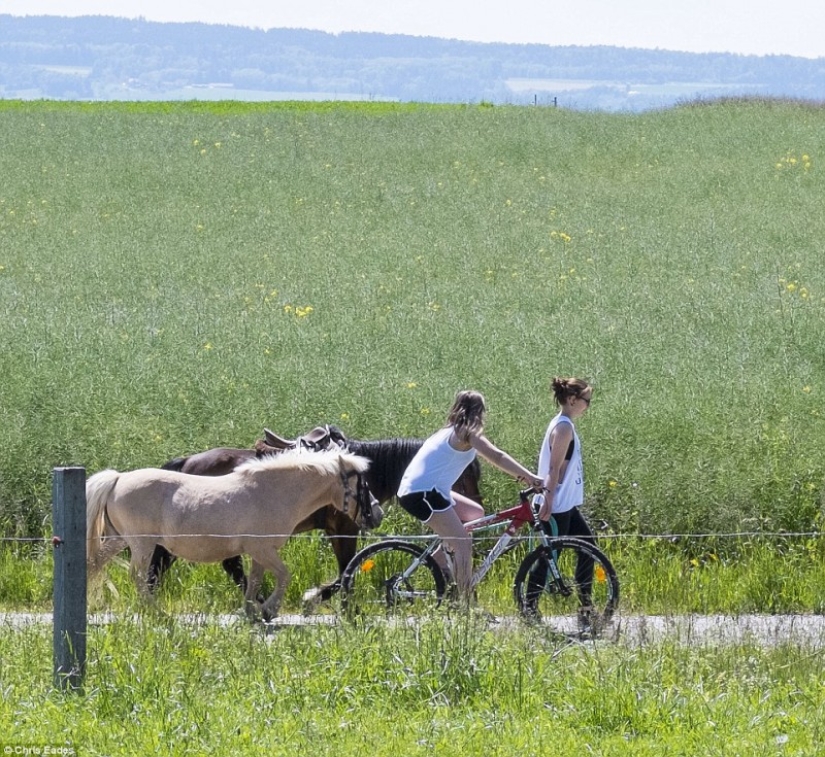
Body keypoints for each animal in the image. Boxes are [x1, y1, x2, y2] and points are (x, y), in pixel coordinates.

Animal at [87, 448, 370, 620]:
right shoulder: (262, 550)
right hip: (142, 545)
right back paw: (156, 611)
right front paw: (269, 609)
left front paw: (253, 611)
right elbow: (284, 576)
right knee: (138, 576)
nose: (374, 514)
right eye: (363, 484)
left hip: (117, 540)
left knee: (95, 564)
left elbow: (255, 579)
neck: (273, 492)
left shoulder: (260, 552)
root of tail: (118, 478)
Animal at [153, 432, 482, 604]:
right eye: (468, 472)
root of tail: (187, 462)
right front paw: (318, 598)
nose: (478, 506)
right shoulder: (343, 529)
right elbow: (345, 571)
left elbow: (344, 571)